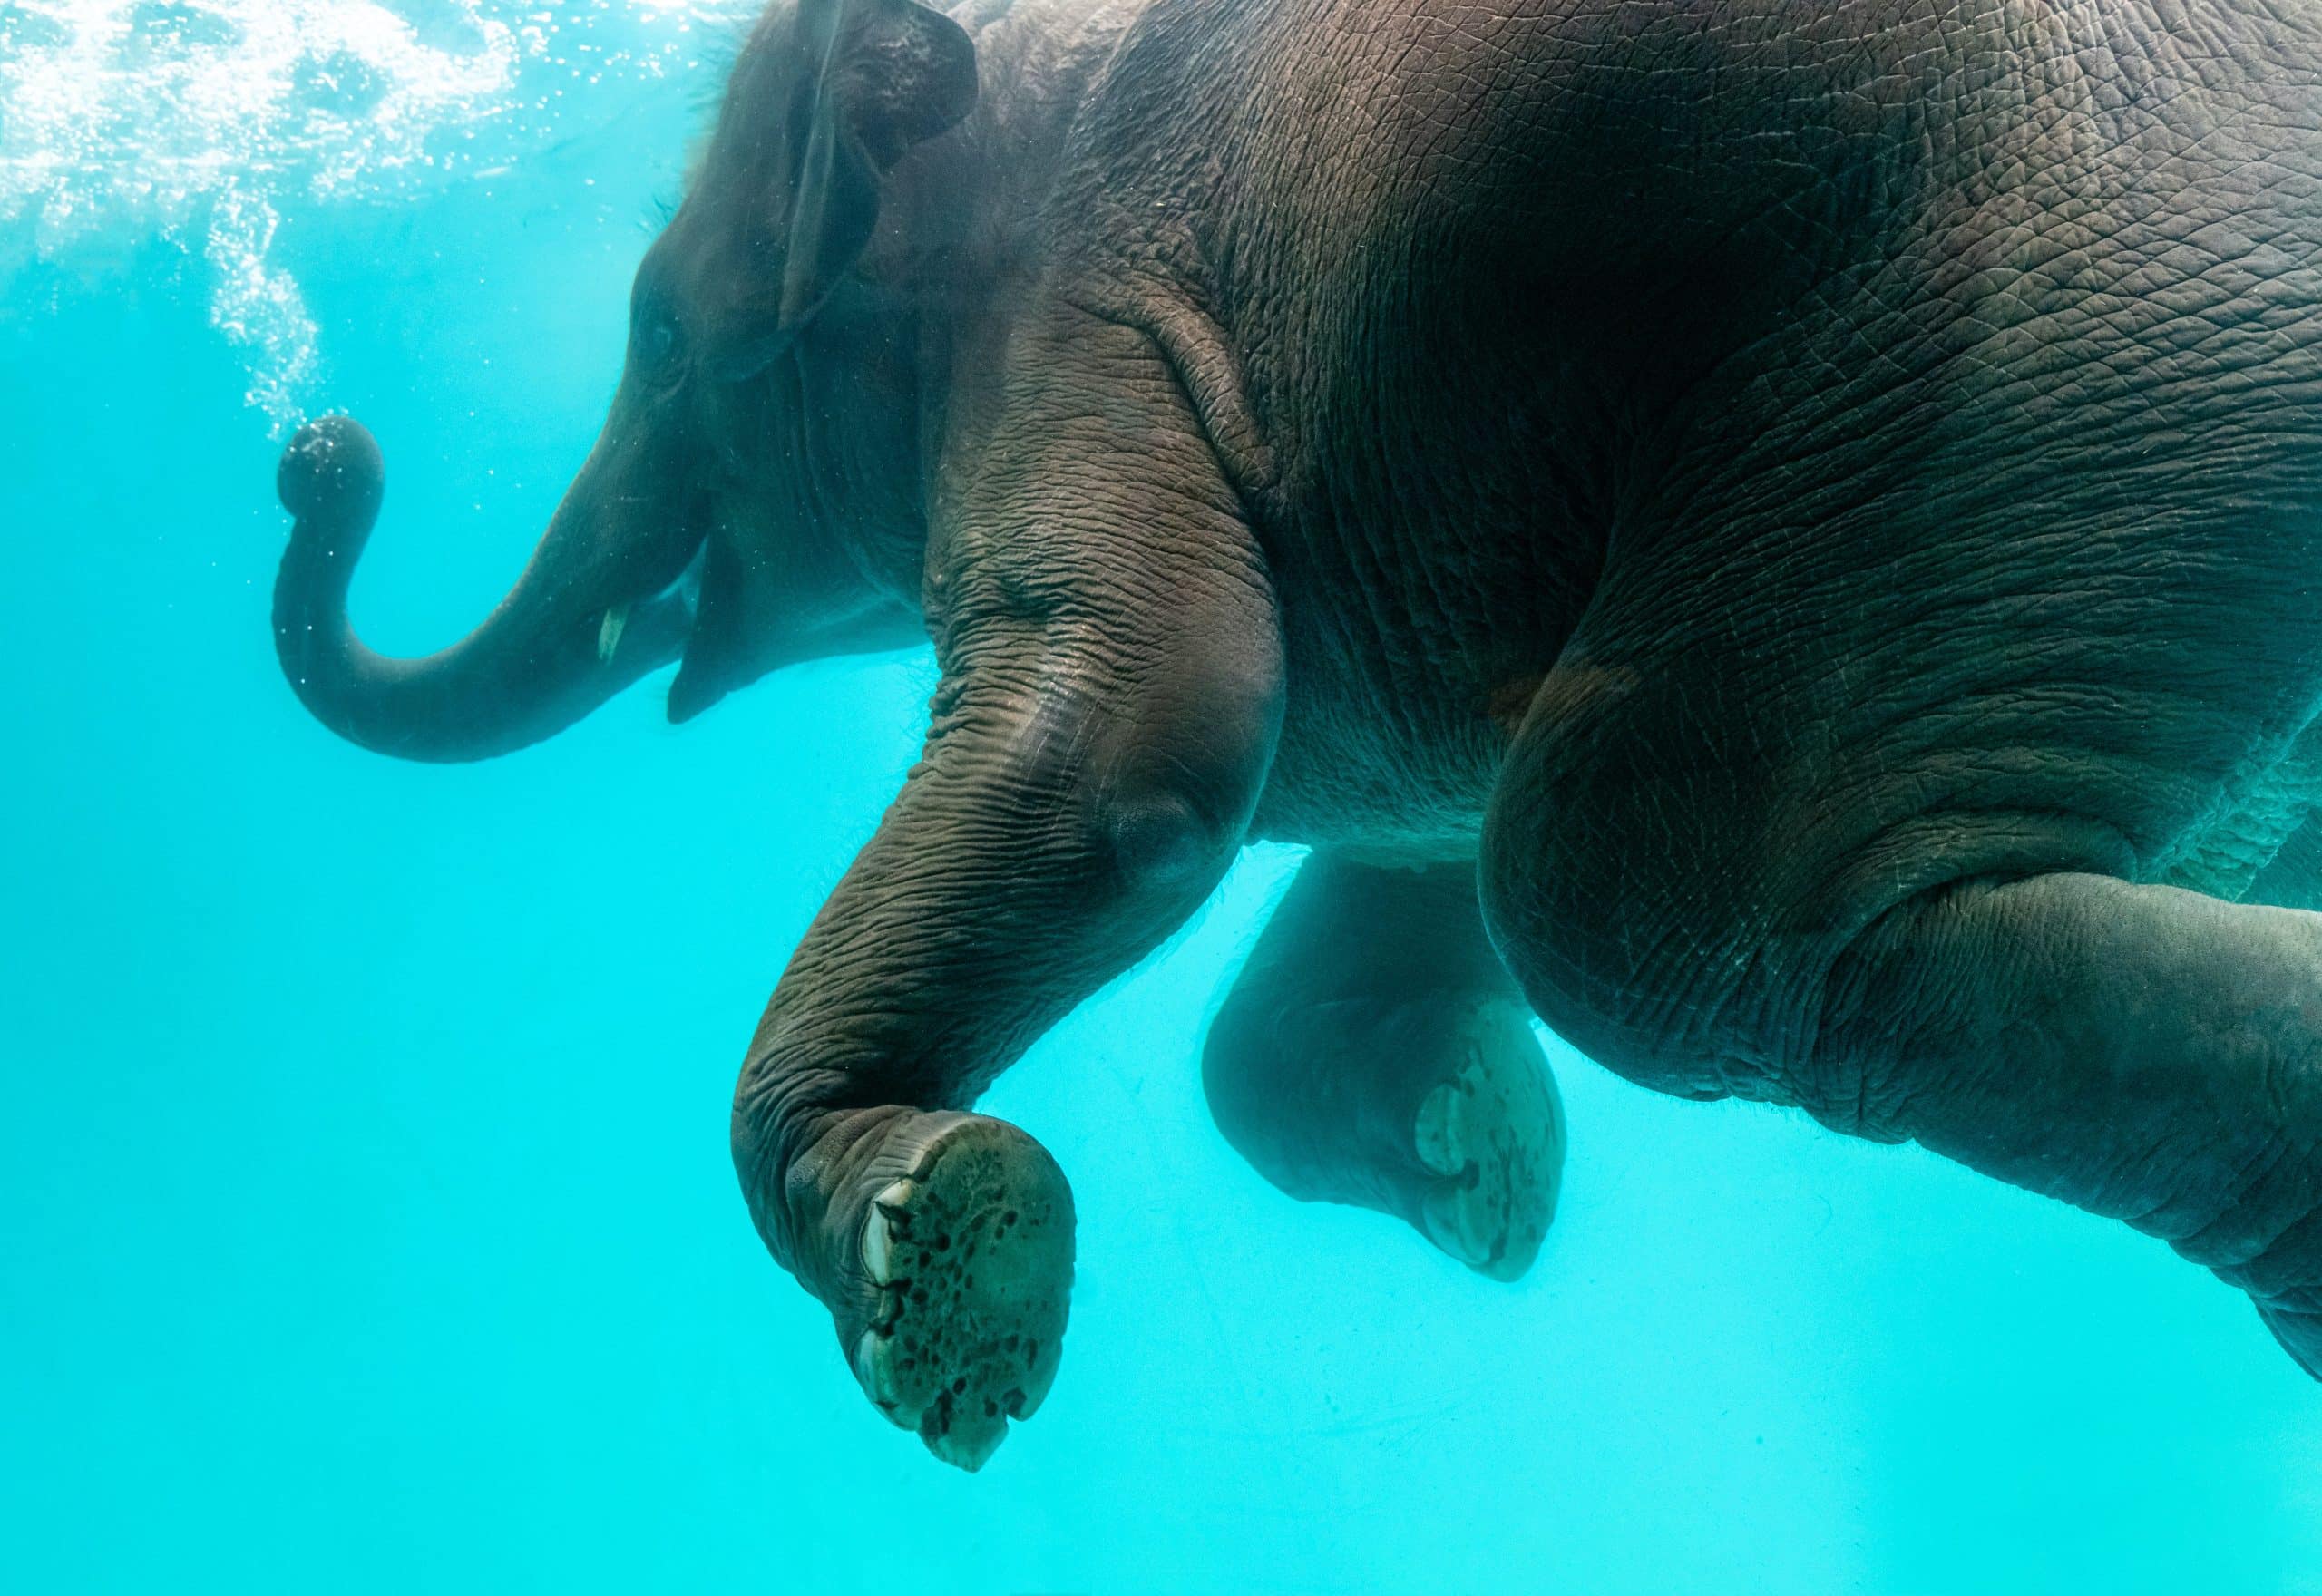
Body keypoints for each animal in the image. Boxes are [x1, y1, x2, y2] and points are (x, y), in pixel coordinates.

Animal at [272, 0, 2322, 1470]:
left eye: (665, 337)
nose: (317, 450)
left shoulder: (1083, 330)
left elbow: (1148, 748)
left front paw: (939, 1255)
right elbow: (1357, 881)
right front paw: (1477, 1164)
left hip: (2054, 330)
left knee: (1655, 897)